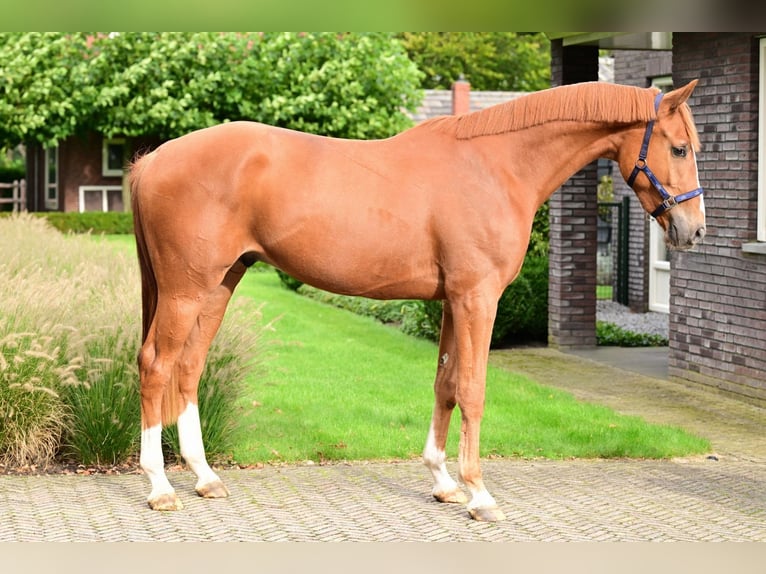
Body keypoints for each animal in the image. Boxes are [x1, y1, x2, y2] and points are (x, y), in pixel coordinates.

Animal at [130, 79, 708, 524]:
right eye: (680, 148)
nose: (694, 230)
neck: (496, 166)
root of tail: (153, 159)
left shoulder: (453, 300)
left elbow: (446, 384)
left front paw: (443, 481)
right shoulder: (478, 298)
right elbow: (472, 390)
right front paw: (479, 495)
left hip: (219, 284)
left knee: (189, 367)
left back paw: (204, 477)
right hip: (186, 289)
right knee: (156, 364)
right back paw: (159, 487)